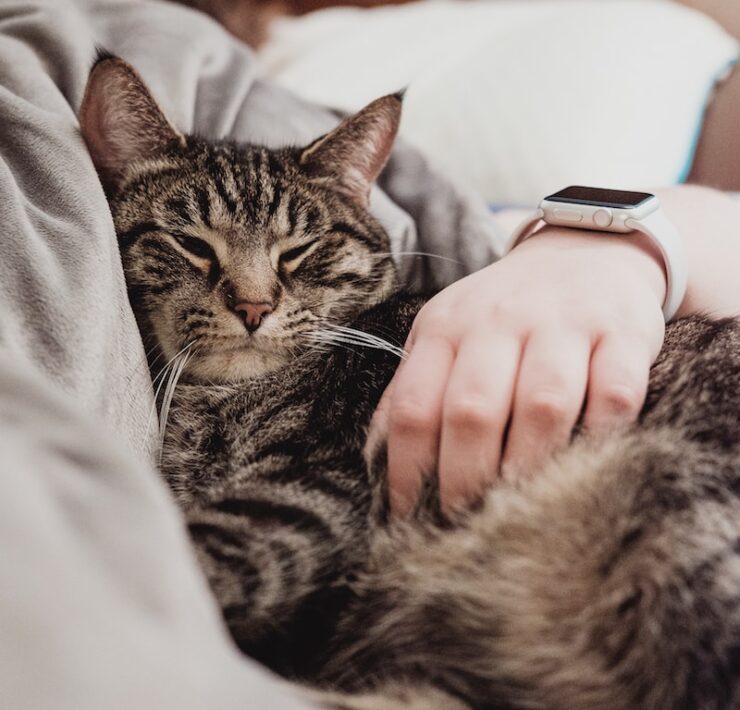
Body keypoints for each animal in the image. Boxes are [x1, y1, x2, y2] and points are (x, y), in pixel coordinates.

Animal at [81, 55, 740, 710]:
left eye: (300, 250)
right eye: (191, 243)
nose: (253, 306)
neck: (216, 401)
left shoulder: (310, 486)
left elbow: (187, 556)